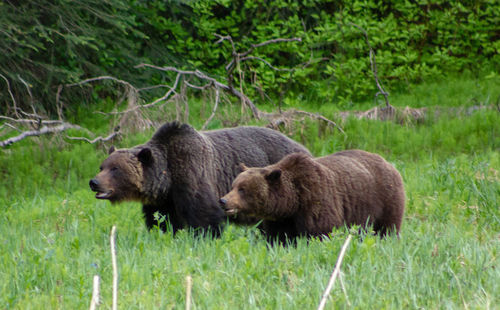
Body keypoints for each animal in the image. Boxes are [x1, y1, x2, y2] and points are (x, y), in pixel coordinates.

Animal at [89, 121, 308, 235]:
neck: (168, 177)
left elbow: (205, 212)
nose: (94, 182)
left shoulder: (193, 172)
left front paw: (206, 236)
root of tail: (303, 147)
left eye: (115, 169)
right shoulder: (163, 199)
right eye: (102, 166)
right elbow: (161, 219)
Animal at [220, 151, 406, 245]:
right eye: (233, 186)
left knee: (387, 227)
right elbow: (279, 237)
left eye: (242, 189)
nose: (223, 201)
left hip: (385, 198)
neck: (293, 202)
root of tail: (388, 162)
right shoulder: (282, 219)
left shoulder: (316, 200)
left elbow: (321, 230)